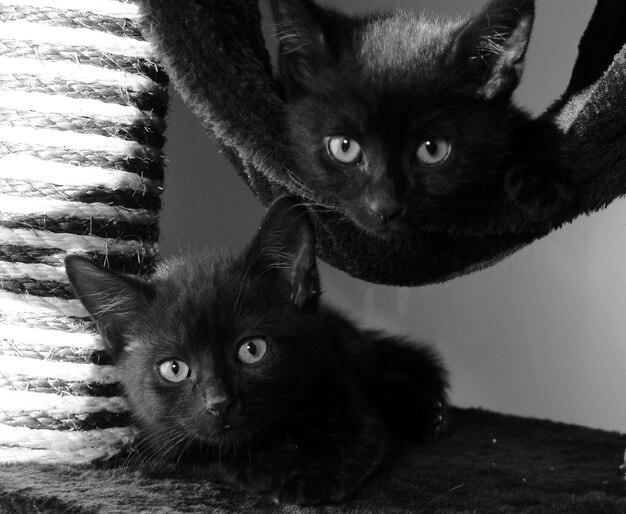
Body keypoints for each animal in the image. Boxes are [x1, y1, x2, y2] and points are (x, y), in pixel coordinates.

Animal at [64, 196, 444, 504]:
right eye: (174, 368)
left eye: (252, 349)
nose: (219, 403)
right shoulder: (158, 442)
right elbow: (206, 455)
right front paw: (265, 466)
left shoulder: (342, 388)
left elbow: (358, 437)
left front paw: (310, 477)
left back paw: (427, 412)